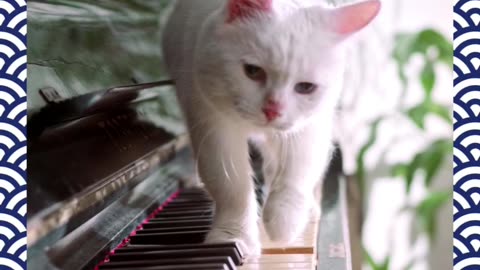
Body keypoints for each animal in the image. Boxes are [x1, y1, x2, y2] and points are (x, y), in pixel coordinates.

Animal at [163, 0, 380, 254]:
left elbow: (295, 174)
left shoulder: (309, 128)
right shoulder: (212, 126)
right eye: (252, 71)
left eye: (306, 87)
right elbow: (231, 187)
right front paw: (233, 237)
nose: (272, 110)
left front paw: (283, 224)